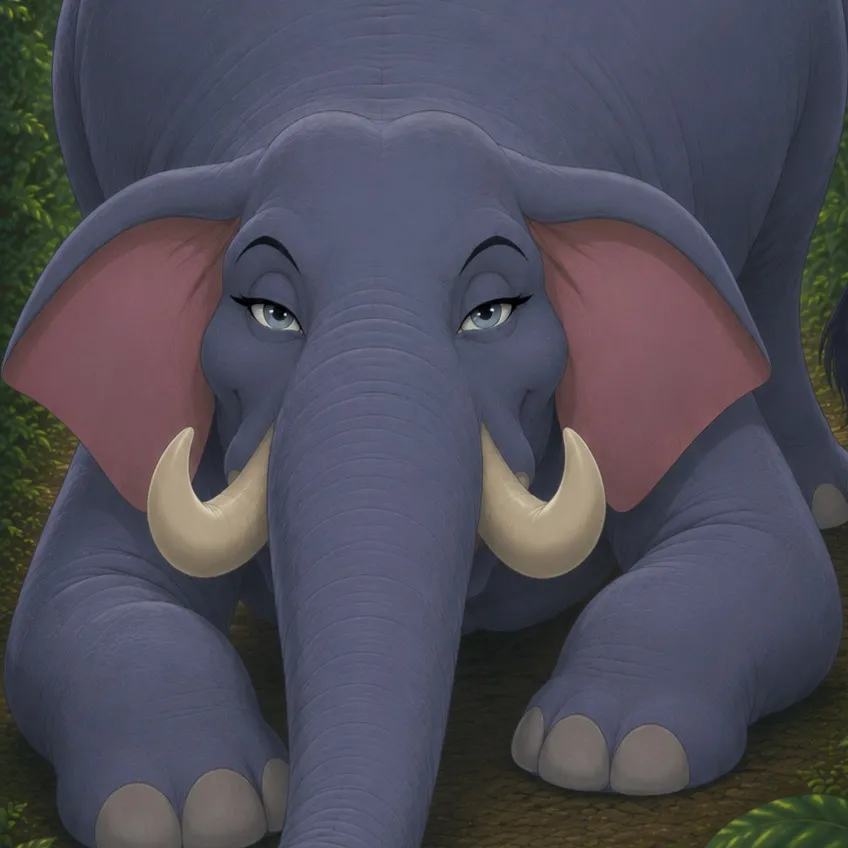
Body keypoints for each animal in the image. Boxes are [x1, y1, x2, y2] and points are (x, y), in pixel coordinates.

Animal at [3, 1, 848, 847]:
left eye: (491, 313)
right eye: (271, 314)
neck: (397, 89)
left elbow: (760, 548)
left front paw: (608, 746)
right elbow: (81, 598)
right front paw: (186, 806)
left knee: (775, 264)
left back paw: (825, 498)